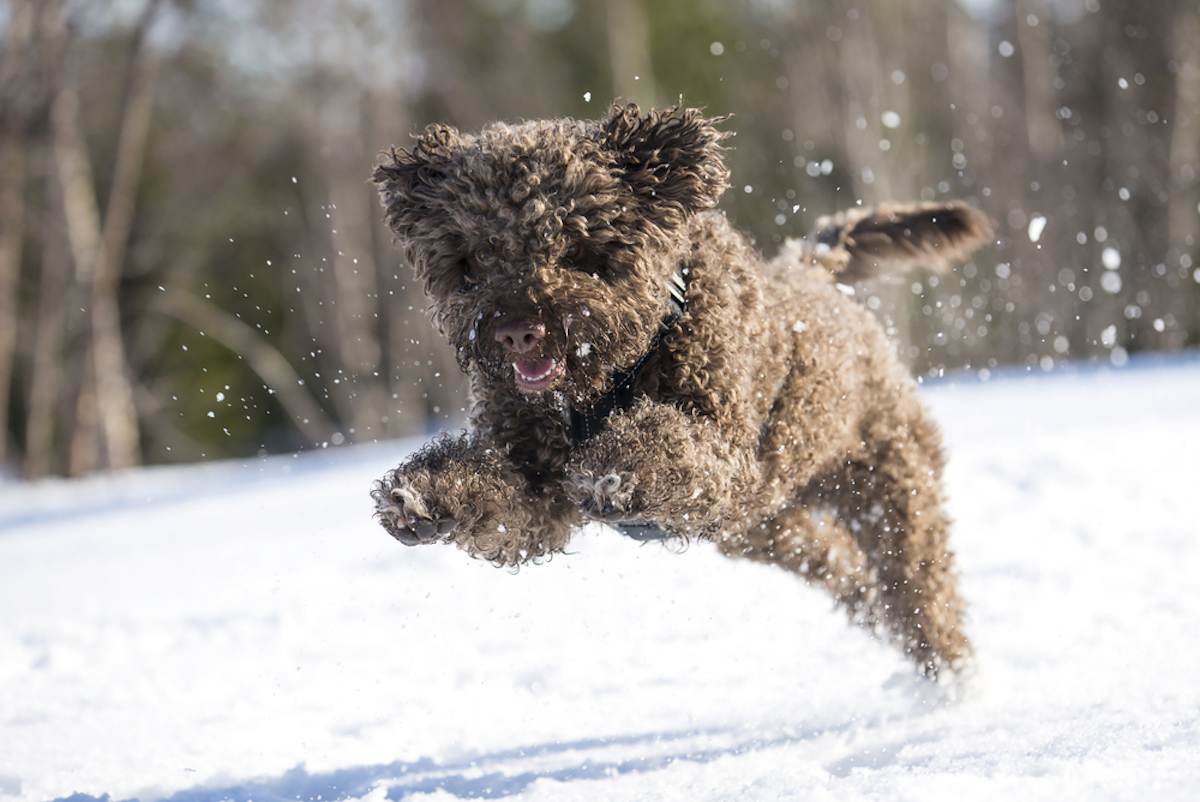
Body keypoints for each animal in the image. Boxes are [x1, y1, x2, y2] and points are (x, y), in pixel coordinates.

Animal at [372, 103, 993, 681]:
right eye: (479, 253)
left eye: (576, 246)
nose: (516, 330)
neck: (604, 384)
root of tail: (815, 274)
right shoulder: (537, 487)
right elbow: (505, 501)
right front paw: (425, 495)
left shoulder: (725, 453)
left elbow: (668, 446)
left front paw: (619, 470)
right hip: (765, 528)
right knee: (845, 568)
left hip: (890, 488)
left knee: (920, 591)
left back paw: (953, 680)